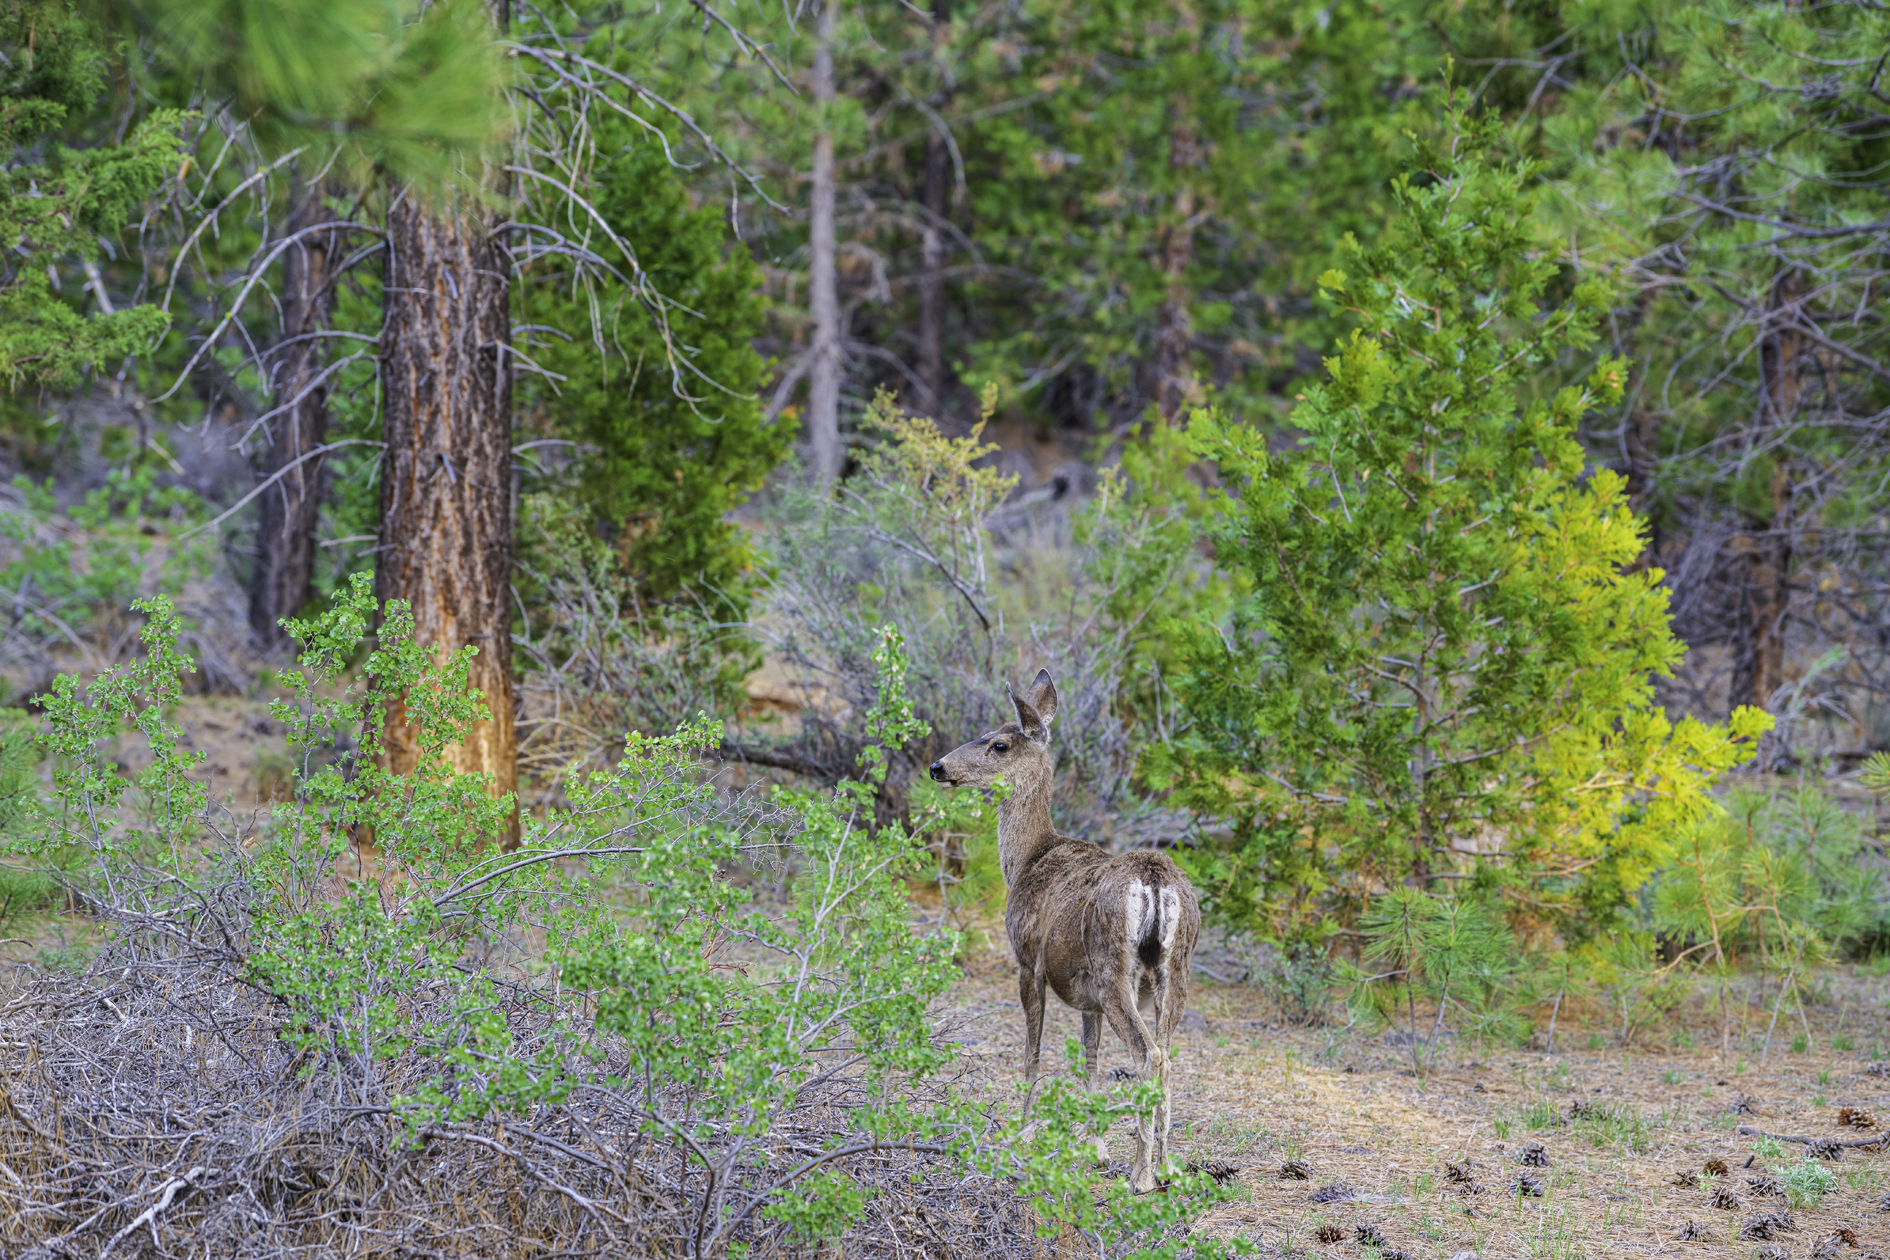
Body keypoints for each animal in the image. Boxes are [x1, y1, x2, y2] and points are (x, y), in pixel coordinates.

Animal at [926, 668, 1194, 1193]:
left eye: (1000, 744)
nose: (937, 767)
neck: (1027, 860)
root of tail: (1154, 880)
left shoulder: (1027, 960)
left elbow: (1032, 1053)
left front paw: (1020, 1131)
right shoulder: (1087, 998)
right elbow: (1090, 1060)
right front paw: (1094, 1146)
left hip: (1114, 970)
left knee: (1149, 1055)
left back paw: (1141, 1175)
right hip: (1175, 971)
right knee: (1168, 1054)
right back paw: (1167, 1166)